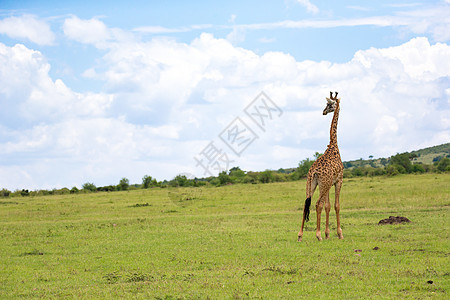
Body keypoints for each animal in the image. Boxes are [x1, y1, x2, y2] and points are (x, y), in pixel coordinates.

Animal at [298, 91, 344, 241]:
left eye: (329, 104)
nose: (324, 112)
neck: (333, 145)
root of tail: (313, 172)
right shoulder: (338, 180)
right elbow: (336, 205)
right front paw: (339, 233)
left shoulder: (329, 183)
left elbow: (328, 206)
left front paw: (328, 234)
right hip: (323, 184)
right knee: (317, 204)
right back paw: (318, 235)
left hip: (312, 183)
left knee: (306, 203)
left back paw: (300, 235)